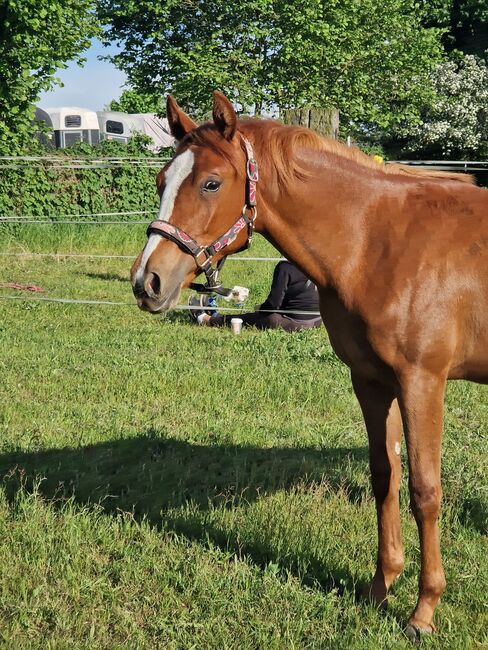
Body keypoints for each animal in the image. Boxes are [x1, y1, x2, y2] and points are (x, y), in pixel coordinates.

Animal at [131, 91, 488, 636]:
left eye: (211, 183)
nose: (147, 281)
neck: (377, 243)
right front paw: (380, 587)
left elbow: (425, 491)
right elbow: (384, 476)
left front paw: (424, 610)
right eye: (160, 182)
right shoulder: (371, 381)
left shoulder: (422, 381)